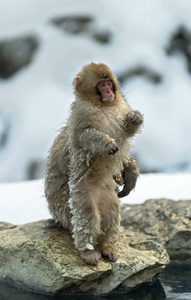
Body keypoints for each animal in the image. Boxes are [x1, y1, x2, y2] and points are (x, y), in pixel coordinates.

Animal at [44, 62, 143, 264]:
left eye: (109, 82)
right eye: (101, 85)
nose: (108, 91)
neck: (102, 106)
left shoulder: (119, 110)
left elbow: (126, 130)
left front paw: (135, 118)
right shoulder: (81, 115)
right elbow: (86, 134)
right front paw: (107, 143)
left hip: (108, 195)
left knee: (111, 215)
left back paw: (104, 246)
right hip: (82, 191)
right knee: (87, 216)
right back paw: (88, 250)